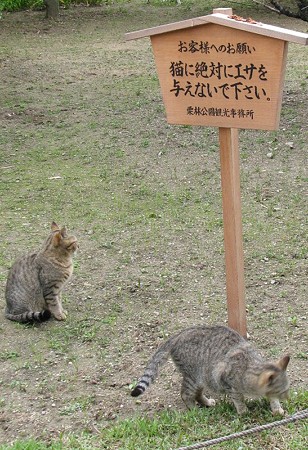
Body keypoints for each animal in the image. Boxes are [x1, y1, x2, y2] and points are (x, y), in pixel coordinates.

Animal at [131, 324, 290, 414]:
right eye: (283, 392)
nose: (288, 398)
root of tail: (178, 335)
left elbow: (272, 399)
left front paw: (277, 409)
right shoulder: (226, 381)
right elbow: (238, 398)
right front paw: (243, 411)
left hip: (203, 378)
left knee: (196, 394)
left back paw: (206, 403)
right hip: (194, 376)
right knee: (185, 394)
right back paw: (194, 410)